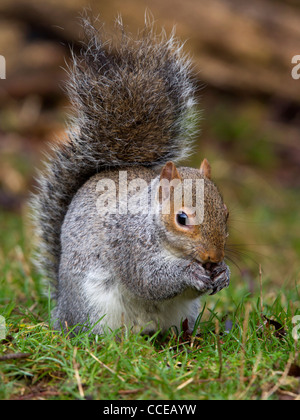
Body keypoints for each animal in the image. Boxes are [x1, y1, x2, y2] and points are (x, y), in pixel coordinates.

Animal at [31, 17, 230, 334]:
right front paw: (190, 272)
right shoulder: (128, 242)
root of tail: (61, 311)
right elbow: (149, 279)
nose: (214, 258)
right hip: (93, 310)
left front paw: (224, 273)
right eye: (181, 218)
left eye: (226, 214)